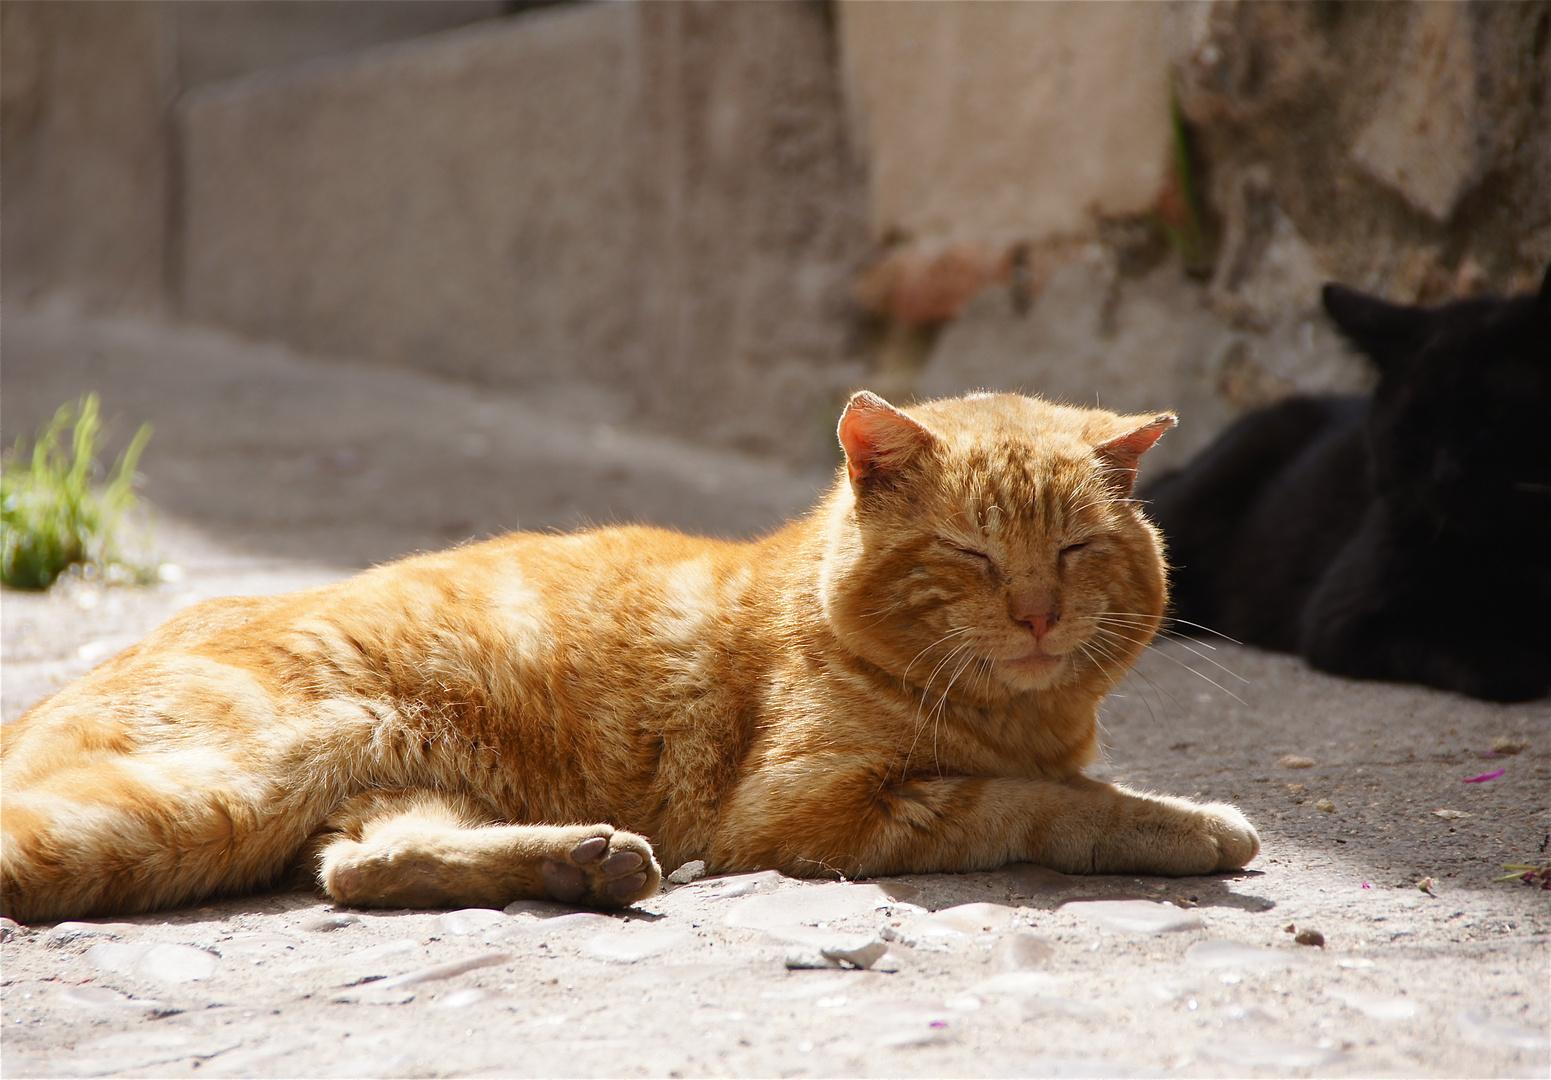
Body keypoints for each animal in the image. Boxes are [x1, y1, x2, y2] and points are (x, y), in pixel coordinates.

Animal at [0, 392, 1259, 924]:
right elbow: (1047, 802)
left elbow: (1063, 784)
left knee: (357, 869)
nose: (1040, 614)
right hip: (215, 790)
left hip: (391, 792)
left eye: (1076, 548)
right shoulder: (820, 813)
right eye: (970, 552)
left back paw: (584, 863)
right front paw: (1188, 824)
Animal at [1141, 266, 1551, 704]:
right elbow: (1463, 646)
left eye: (1493, 419)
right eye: (1413, 430)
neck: (1513, 554)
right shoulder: (1343, 619)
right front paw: (1517, 660)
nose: (1446, 474)